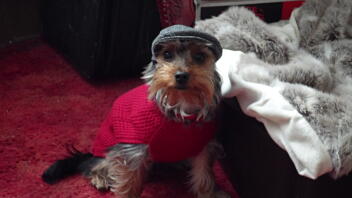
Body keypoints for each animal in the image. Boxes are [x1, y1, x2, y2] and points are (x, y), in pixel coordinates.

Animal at [42, 24, 230, 198]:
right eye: (167, 55)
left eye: (200, 57)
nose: (181, 75)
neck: (180, 103)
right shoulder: (134, 147)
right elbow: (129, 180)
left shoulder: (204, 143)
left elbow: (204, 174)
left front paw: (209, 193)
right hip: (108, 146)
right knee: (95, 164)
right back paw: (100, 177)